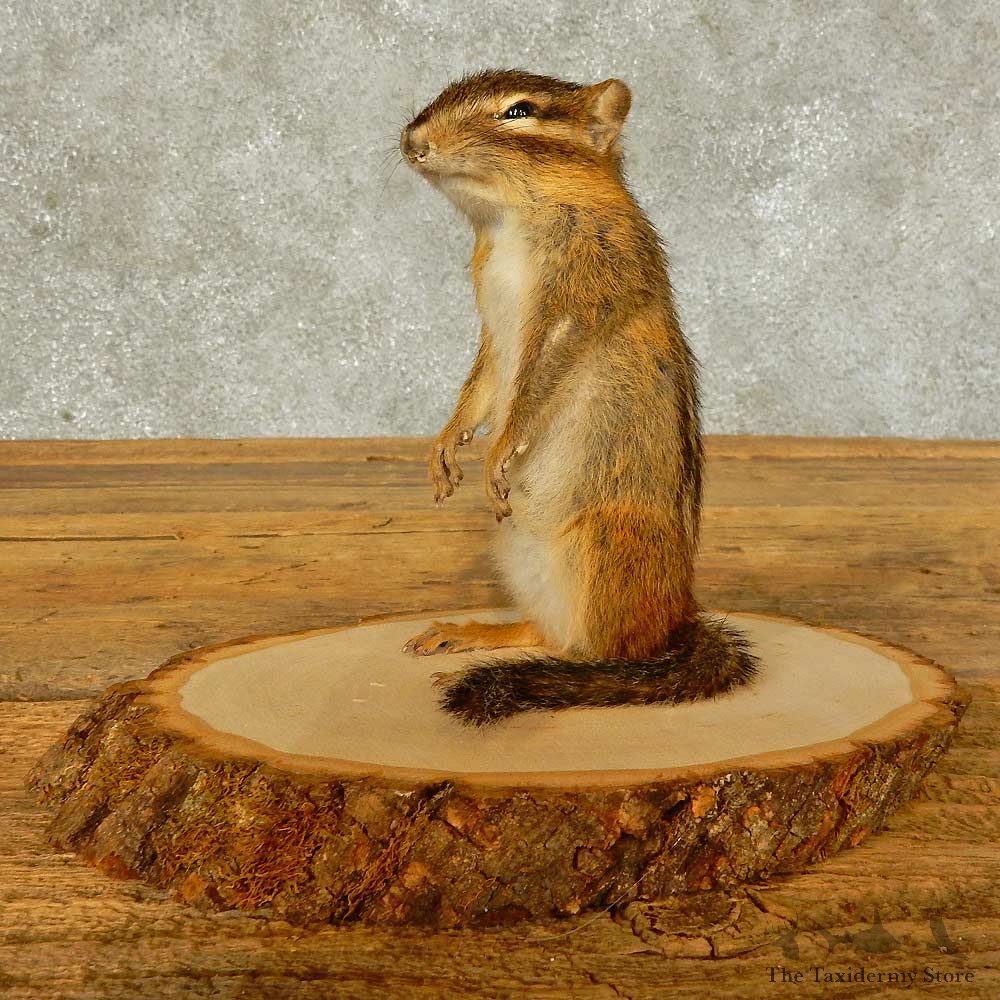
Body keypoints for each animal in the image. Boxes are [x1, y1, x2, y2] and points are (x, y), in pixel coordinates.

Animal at [398, 69, 759, 726]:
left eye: (519, 112)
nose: (413, 142)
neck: (512, 220)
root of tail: (681, 617)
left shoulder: (580, 301)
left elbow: (536, 385)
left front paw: (500, 451)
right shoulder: (494, 328)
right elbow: (483, 384)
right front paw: (447, 443)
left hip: (603, 550)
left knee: (603, 657)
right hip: (517, 554)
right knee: (550, 636)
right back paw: (471, 633)